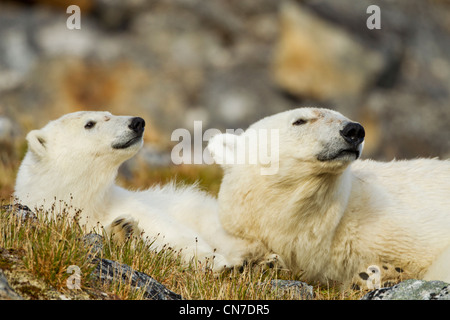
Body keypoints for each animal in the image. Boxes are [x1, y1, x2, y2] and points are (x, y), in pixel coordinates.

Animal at [14, 111, 253, 272]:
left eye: (109, 113)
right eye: (89, 123)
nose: (137, 122)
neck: (89, 201)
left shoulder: (132, 205)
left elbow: (175, 234)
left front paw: (218, 262)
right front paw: (123, 229)